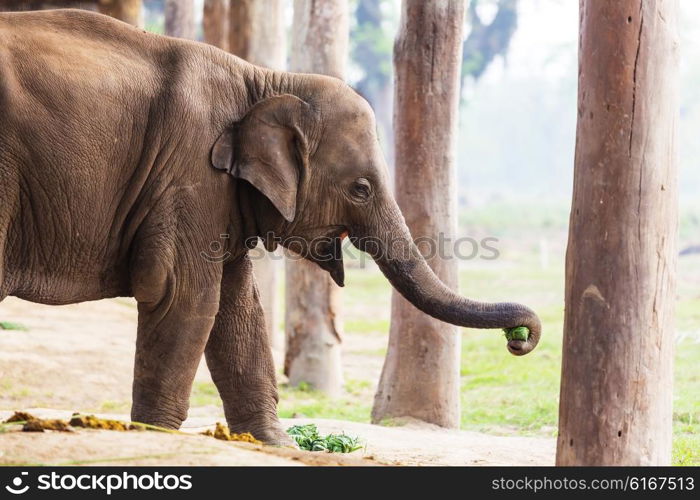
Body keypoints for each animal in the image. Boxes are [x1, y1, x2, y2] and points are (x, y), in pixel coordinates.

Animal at [0, 9, 540, 444]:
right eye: (361, 189)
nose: (520, 338)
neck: (266, 80)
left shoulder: (212, 193)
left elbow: (238, 310)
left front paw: (277, 444)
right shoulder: (188, 174)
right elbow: (183, 295)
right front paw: (155, 436)